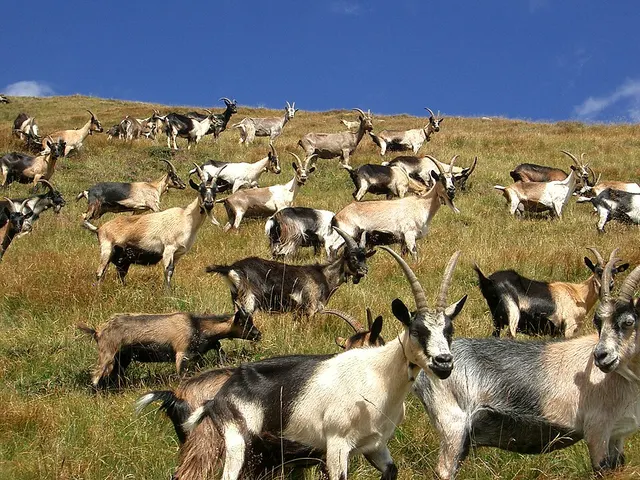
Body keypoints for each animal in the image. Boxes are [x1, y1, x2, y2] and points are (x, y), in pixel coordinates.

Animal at [78, 308, 261, 388]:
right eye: (245, 323)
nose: (258, 334)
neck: (198, 326)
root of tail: (97, 332)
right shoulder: (181, 352)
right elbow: (181, 374)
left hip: (122, 358)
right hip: (107, 353)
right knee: (96, 376)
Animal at [83, 165, 223, 288]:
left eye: (215, 191)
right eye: (200, 189)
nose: (208, 203)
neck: (185, 217)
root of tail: (100, 229)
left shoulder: (179, 253)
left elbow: (172, 271)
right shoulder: (168, 249)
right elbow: (167, 271)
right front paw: (167, 294)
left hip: (121, 258)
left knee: (116, 273)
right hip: (106, 249)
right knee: (99, 273)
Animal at [185, 247, 465, 480]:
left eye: (449, 330)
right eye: (416, 330)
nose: (444, 363)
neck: (377, 376)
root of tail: (217, 398)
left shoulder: (376, 446)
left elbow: (391, 471)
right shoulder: (337, 444)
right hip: (237, 441)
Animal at [206, 227, 372, 317]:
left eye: (364, 257)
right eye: (353, 258)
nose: (364, 270)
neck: (324, 276)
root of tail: (231, 268)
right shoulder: (311, 307)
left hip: (237, 301)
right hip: (250, 301)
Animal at [475, 247, 629, 338]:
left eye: (615, 272)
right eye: (598, 271)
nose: (609, 285)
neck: (579, 294)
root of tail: (489, 280)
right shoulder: (569, 327)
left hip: (497, 319)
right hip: (513, 313)